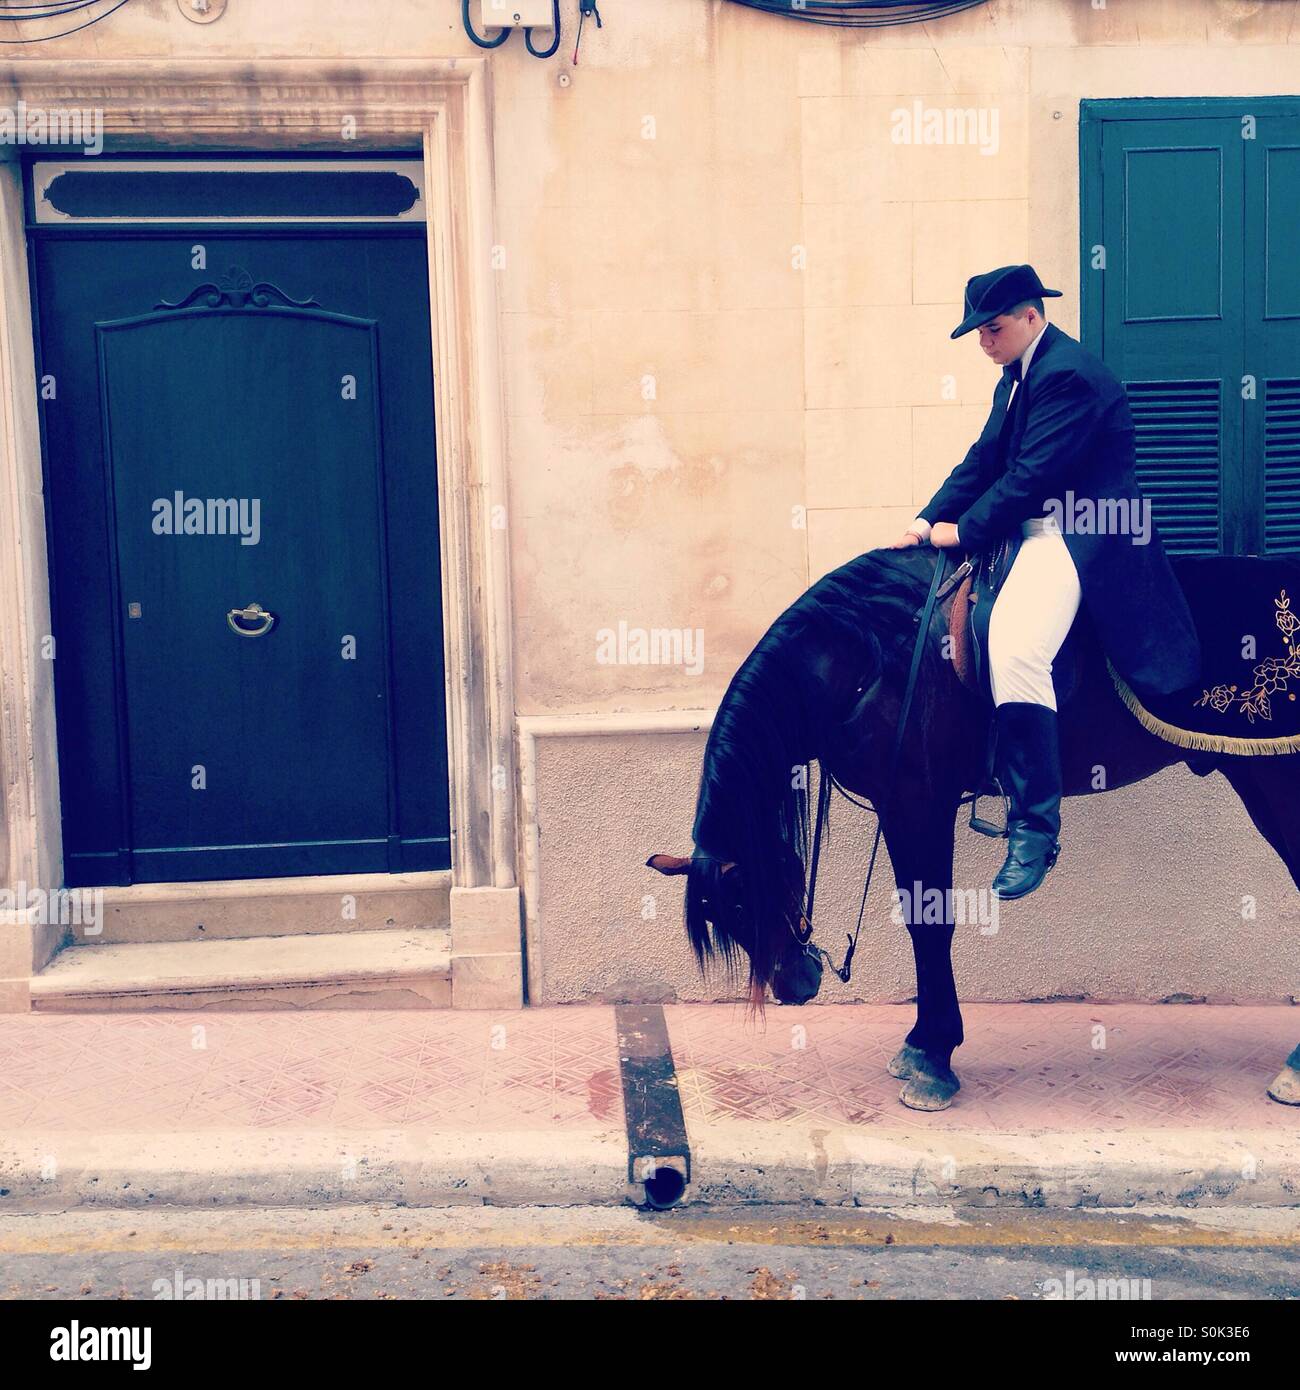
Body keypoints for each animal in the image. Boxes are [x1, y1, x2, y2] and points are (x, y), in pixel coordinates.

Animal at [646, 544, 1300, 1112]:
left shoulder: (918, 805)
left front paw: (933, 1057)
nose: (792, 983)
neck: (871, 659)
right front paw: (922, 1045)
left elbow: (928, 921)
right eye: (723, 918)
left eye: (749, 901)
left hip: (1276, 783)